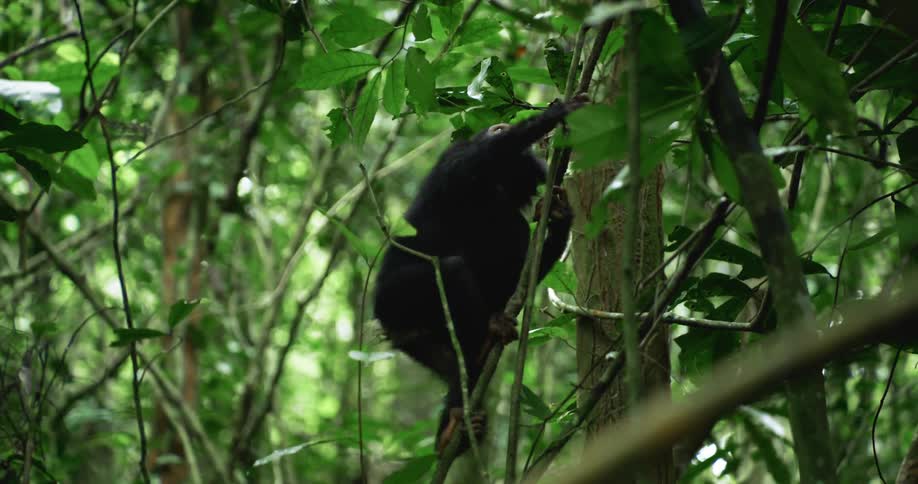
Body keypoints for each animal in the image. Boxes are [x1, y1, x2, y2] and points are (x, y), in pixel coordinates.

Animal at [373, 96, 587, 454]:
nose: (540, 178)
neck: (491, 187)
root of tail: (390, 325)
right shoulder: (457, 161)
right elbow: (484, 153)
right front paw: (557, 113)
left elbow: (519, 268)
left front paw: (559, 215)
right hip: (395, 299)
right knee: (452, 271)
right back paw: (483, 345)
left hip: (418, 340)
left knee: (451, 366)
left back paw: (453, 426)